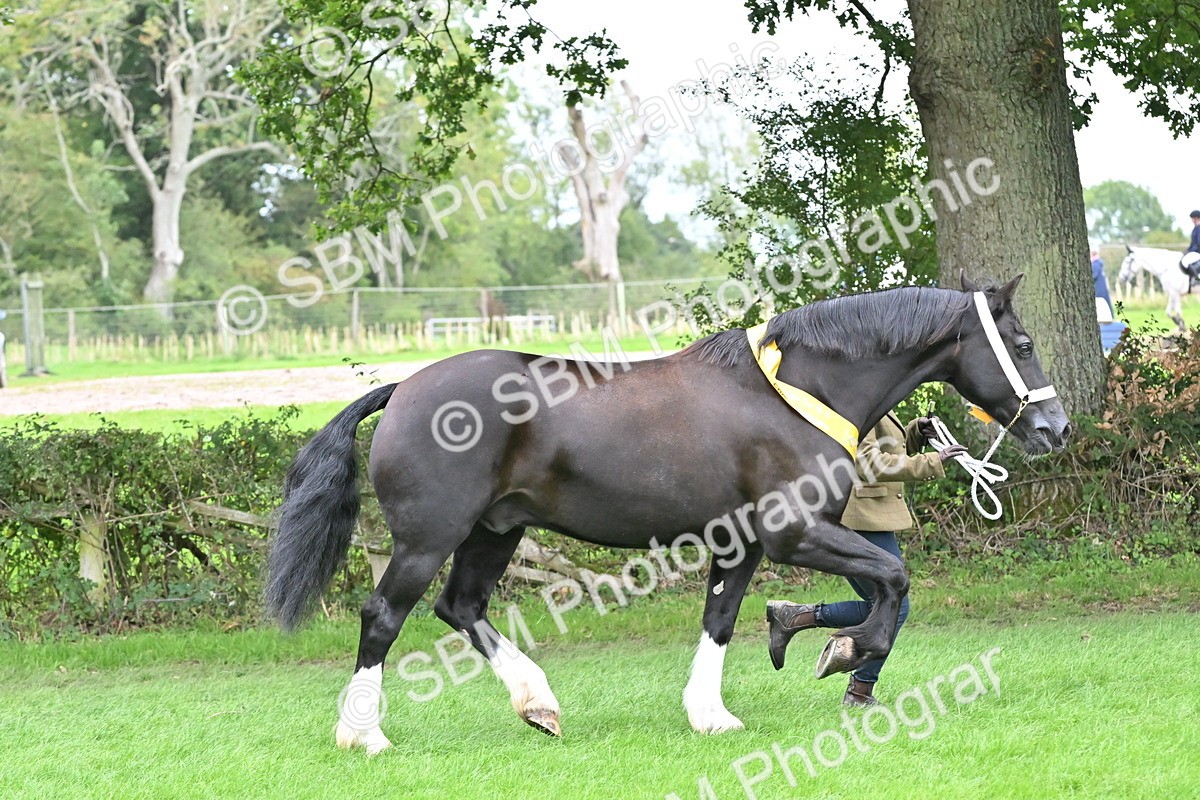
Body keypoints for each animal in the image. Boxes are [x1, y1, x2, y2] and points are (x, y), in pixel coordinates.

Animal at [266, 274, 1070, 754]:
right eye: (1024, 343)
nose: (1055, 428)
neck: (797, 395)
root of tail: (403, 388)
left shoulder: (742, 543)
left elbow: (721, 619)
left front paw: (712, 713)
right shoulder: (794, 533)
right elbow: (891, 580)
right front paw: (846, 650)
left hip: (496, 531)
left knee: (460, 608)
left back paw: (538, 705)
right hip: (427, 539)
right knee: (384, 618)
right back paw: (363, 735)